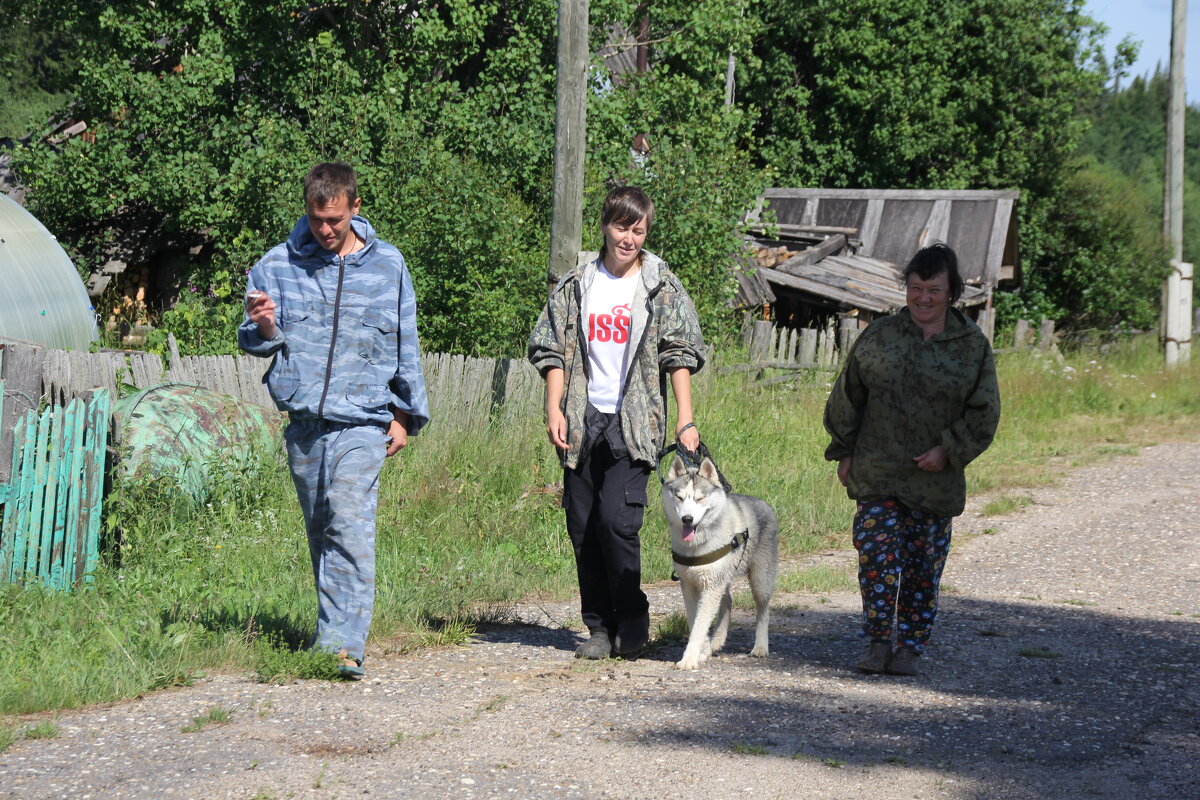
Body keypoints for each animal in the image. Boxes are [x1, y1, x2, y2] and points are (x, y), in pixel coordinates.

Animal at [667, 455, 777, 671]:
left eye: (700, 498)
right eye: (680, 497)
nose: (687, 519)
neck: (697, 544)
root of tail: (763, 503)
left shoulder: (711, 585)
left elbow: (700, 625)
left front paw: (689, 658)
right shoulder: (689, 584)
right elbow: (695, 620)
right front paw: (704, 650)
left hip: (760, 578)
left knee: (763, 609)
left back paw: (760, 646)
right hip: (723, 576)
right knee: (727, 601)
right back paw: (717, 639)